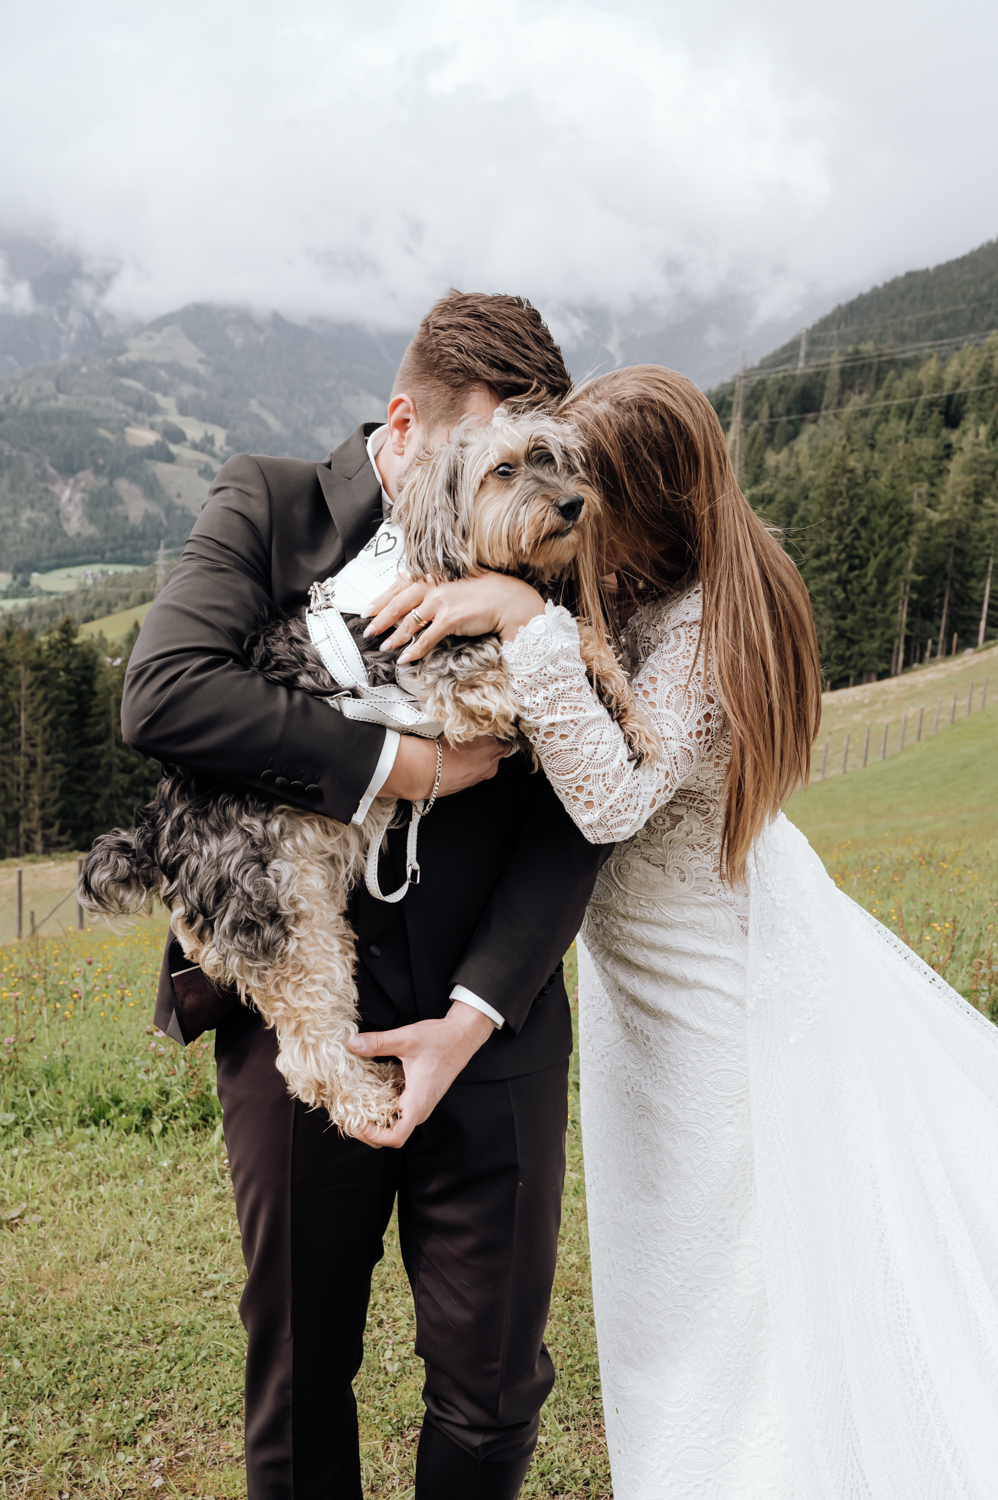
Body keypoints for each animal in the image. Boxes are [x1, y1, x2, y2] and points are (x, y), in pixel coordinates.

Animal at [78, 411, 654, 1134]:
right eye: (505, 469)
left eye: (556, 459)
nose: (574, 504)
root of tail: (157, 831)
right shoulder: (459, 681)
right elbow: (544, 656)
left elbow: (582, 640)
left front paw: (633, 717)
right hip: (286, 920)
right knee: (308, 1050)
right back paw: (370, 1103)